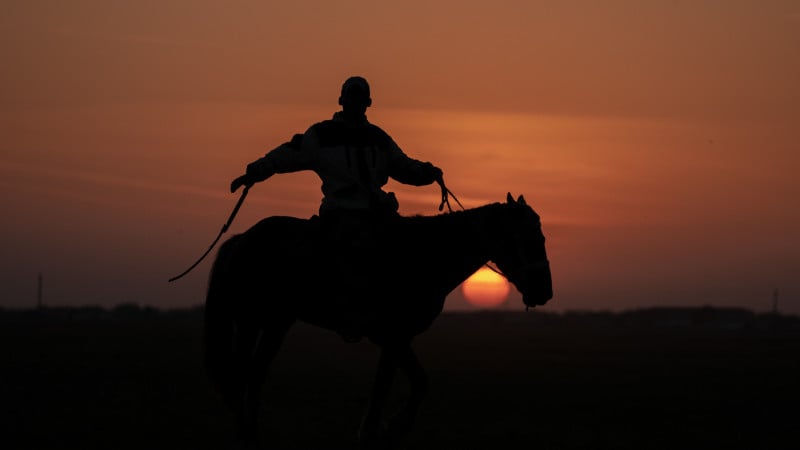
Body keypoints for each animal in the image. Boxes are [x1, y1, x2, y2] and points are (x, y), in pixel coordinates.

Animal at [203, 192, 552, 446]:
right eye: (530, 239)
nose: (544, 291)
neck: (425, 255)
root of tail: (242, 239)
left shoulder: (397, 338)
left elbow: (419, 381)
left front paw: (395, 426)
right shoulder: (392, 336)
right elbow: (383, 385)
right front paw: (375, 430)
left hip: (274, 323)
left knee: (253, 374)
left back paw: (250, 432)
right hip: (254, 321)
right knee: (244, 375)